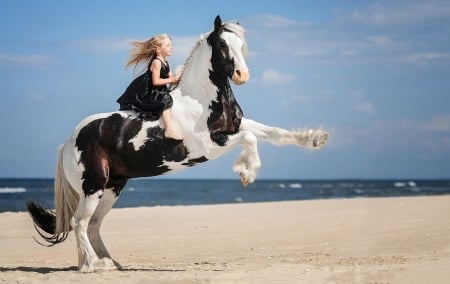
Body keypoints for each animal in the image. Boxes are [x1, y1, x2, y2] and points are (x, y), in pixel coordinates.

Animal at [26, 15, 328, 272]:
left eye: (241, 44)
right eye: (222, 44)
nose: (242, 75)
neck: (202, 99)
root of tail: (67, 143)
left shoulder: (236, 127)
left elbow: (274, 133)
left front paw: (315, 138)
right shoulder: (209, 144)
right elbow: (251, 139)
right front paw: (247, 173)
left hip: (112, 187)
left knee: (93, 225)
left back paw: (110, 263)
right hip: (93, 187)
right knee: (79, 223)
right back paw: (92, 265)